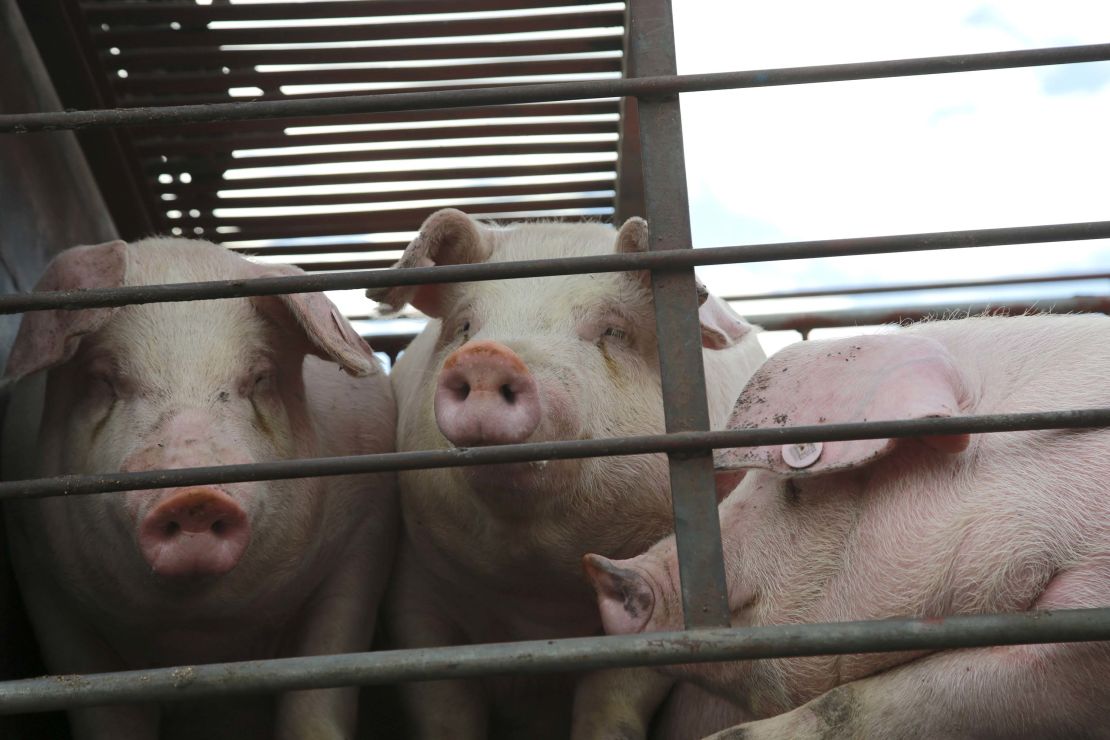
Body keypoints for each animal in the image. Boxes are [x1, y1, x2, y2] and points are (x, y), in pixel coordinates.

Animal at [0, 238, 399, 740]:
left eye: (260, 377)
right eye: (105, 380)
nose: (194, 497)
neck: (199, 636)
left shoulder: (362, 539)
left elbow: (318, 693)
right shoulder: (41, 573)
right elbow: (102, 709)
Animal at [368, 208, 768, 740]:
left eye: (613, 331)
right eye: (464, 325)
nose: (489, 357)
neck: (539, 603)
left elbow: (611, 702)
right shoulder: (415, 587)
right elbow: (444, 707)